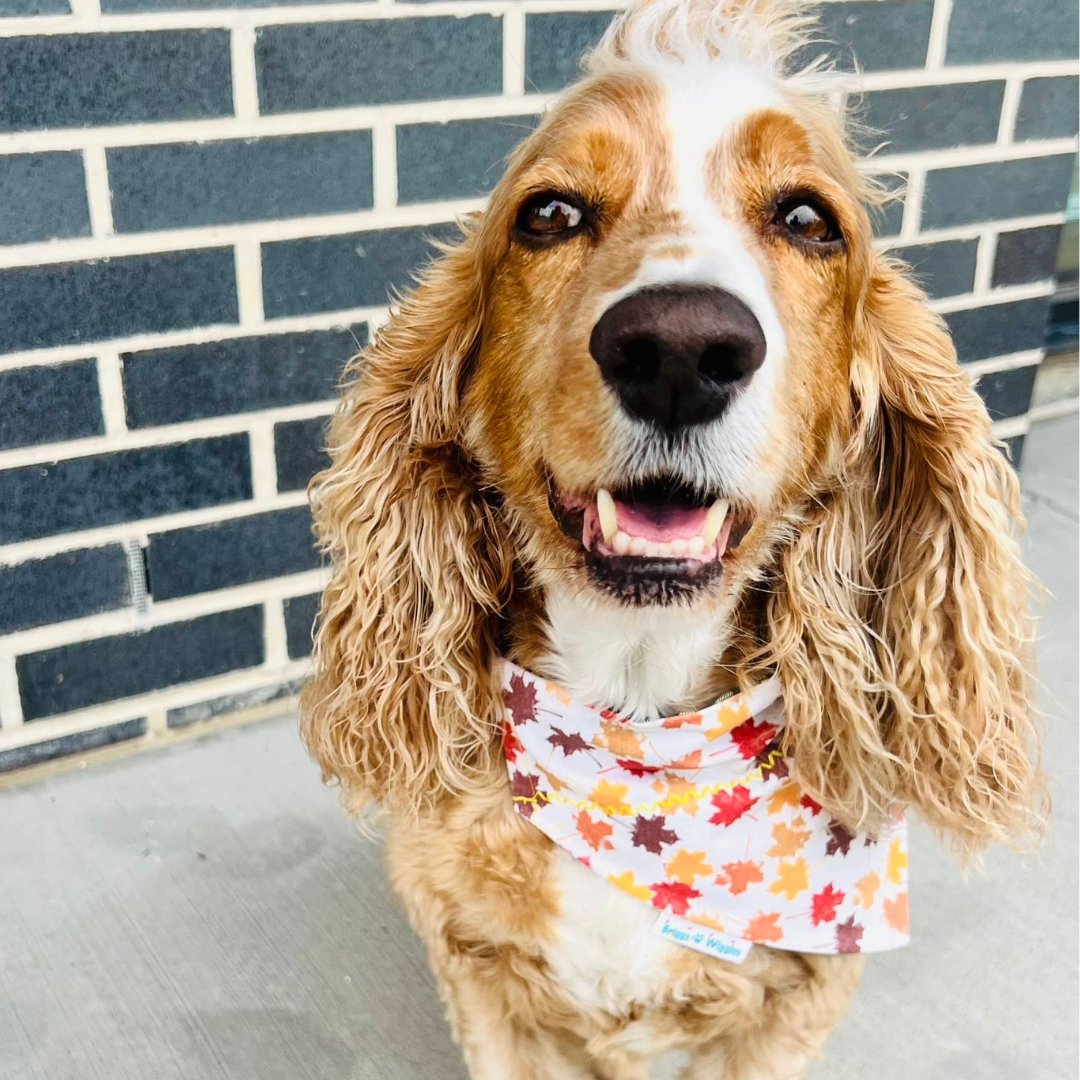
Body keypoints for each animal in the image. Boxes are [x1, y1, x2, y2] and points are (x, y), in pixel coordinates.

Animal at [300, 4, 1041, 1075]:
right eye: (550, 215)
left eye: (808, 221)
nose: (680, 350)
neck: (639, 723)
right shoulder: (480, 979)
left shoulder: (792, 1009)